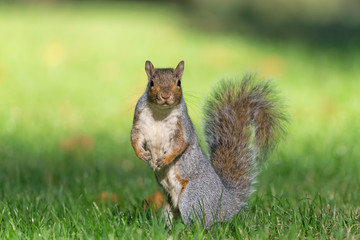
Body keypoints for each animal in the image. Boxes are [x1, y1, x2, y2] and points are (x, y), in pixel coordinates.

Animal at [131, 60, 286, 229]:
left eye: (179, 83)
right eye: (151, 83)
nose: (166, 96)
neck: (160, 113)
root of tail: (228, 203)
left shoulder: (184, 128)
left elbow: (181, 144)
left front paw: (163, 160)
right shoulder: (139, 123)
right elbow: (135, 139)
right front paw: (142, 154)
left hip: (193, 197)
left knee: (201, 223)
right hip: (170, 205)